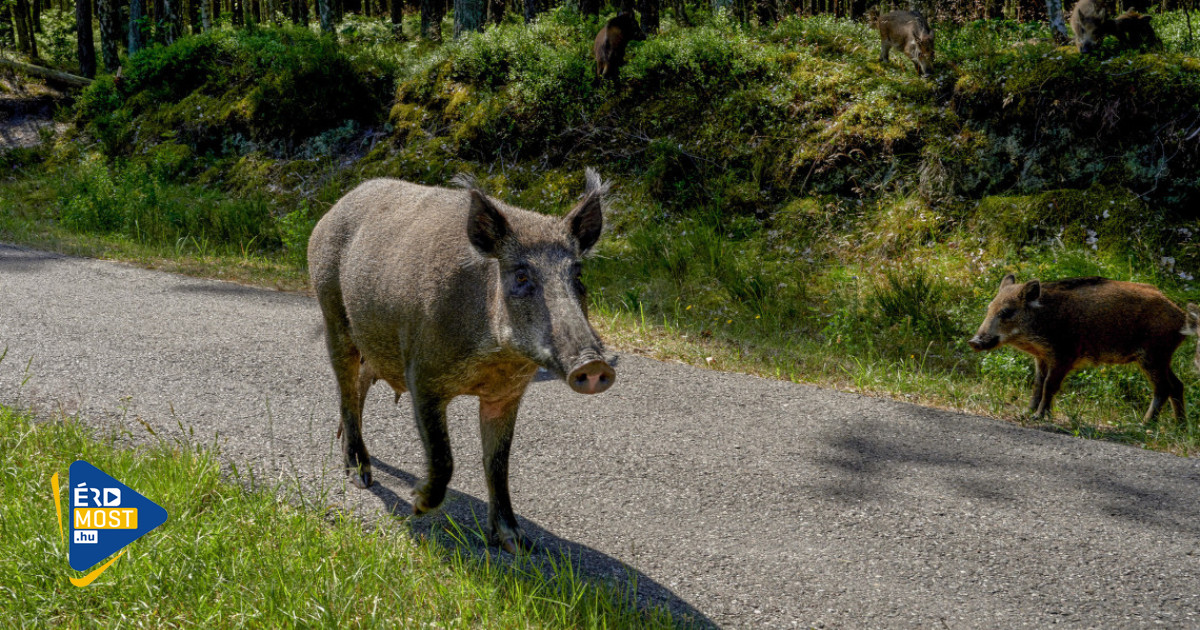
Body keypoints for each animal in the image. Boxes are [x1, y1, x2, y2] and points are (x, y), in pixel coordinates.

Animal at [308, 169, 615, 554]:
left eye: (577, 276)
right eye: (521, 276)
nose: (594, 364)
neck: (494, 360)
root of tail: (331, 210)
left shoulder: (507, 394)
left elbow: (498, 463)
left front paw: (516, 543)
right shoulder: (421, 374)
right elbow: (443, 457)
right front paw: (417, 504)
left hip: (375, 342)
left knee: (362, 380)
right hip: (332, 311)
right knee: (346, 386)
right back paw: (361, 476)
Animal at [969, 275, 1186, 424]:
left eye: (1007, 311)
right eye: (989, 308)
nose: (973, 342)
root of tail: (1182, 317)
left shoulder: (1064, 356)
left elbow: (1049, 385)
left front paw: (1038, 416)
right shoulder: (1042, 357)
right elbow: (1037, 384)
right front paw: (1026, 412)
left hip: (1153, 356)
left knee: (1163, 388)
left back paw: (1144, 424)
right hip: (1162, 358)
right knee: (1177, 385)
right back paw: (1179, 426)